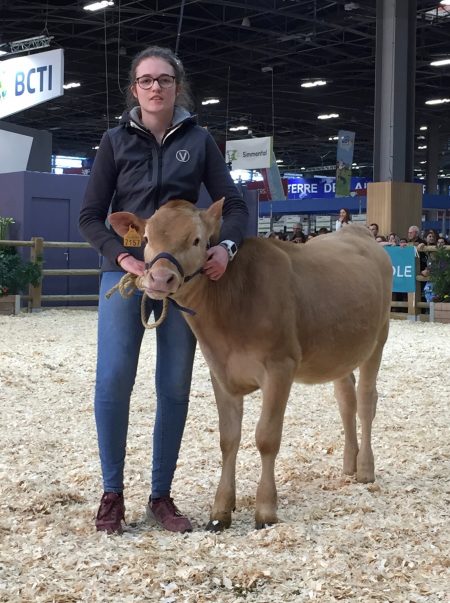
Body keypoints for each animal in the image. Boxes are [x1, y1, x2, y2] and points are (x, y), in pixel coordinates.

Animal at [108, 201, 390, 532]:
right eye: (147, 239)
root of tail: (357, 230)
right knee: (346, 399)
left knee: (367, 401)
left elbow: (266, 437)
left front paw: (265, 509)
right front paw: (220, 510)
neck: (231, 303)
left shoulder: (280, 367)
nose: (160, 279)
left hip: (378, 338)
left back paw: (365, 469)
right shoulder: (220, 371)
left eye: (197, 241)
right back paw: (349, 464)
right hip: (339, 350)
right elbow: (228, 439)